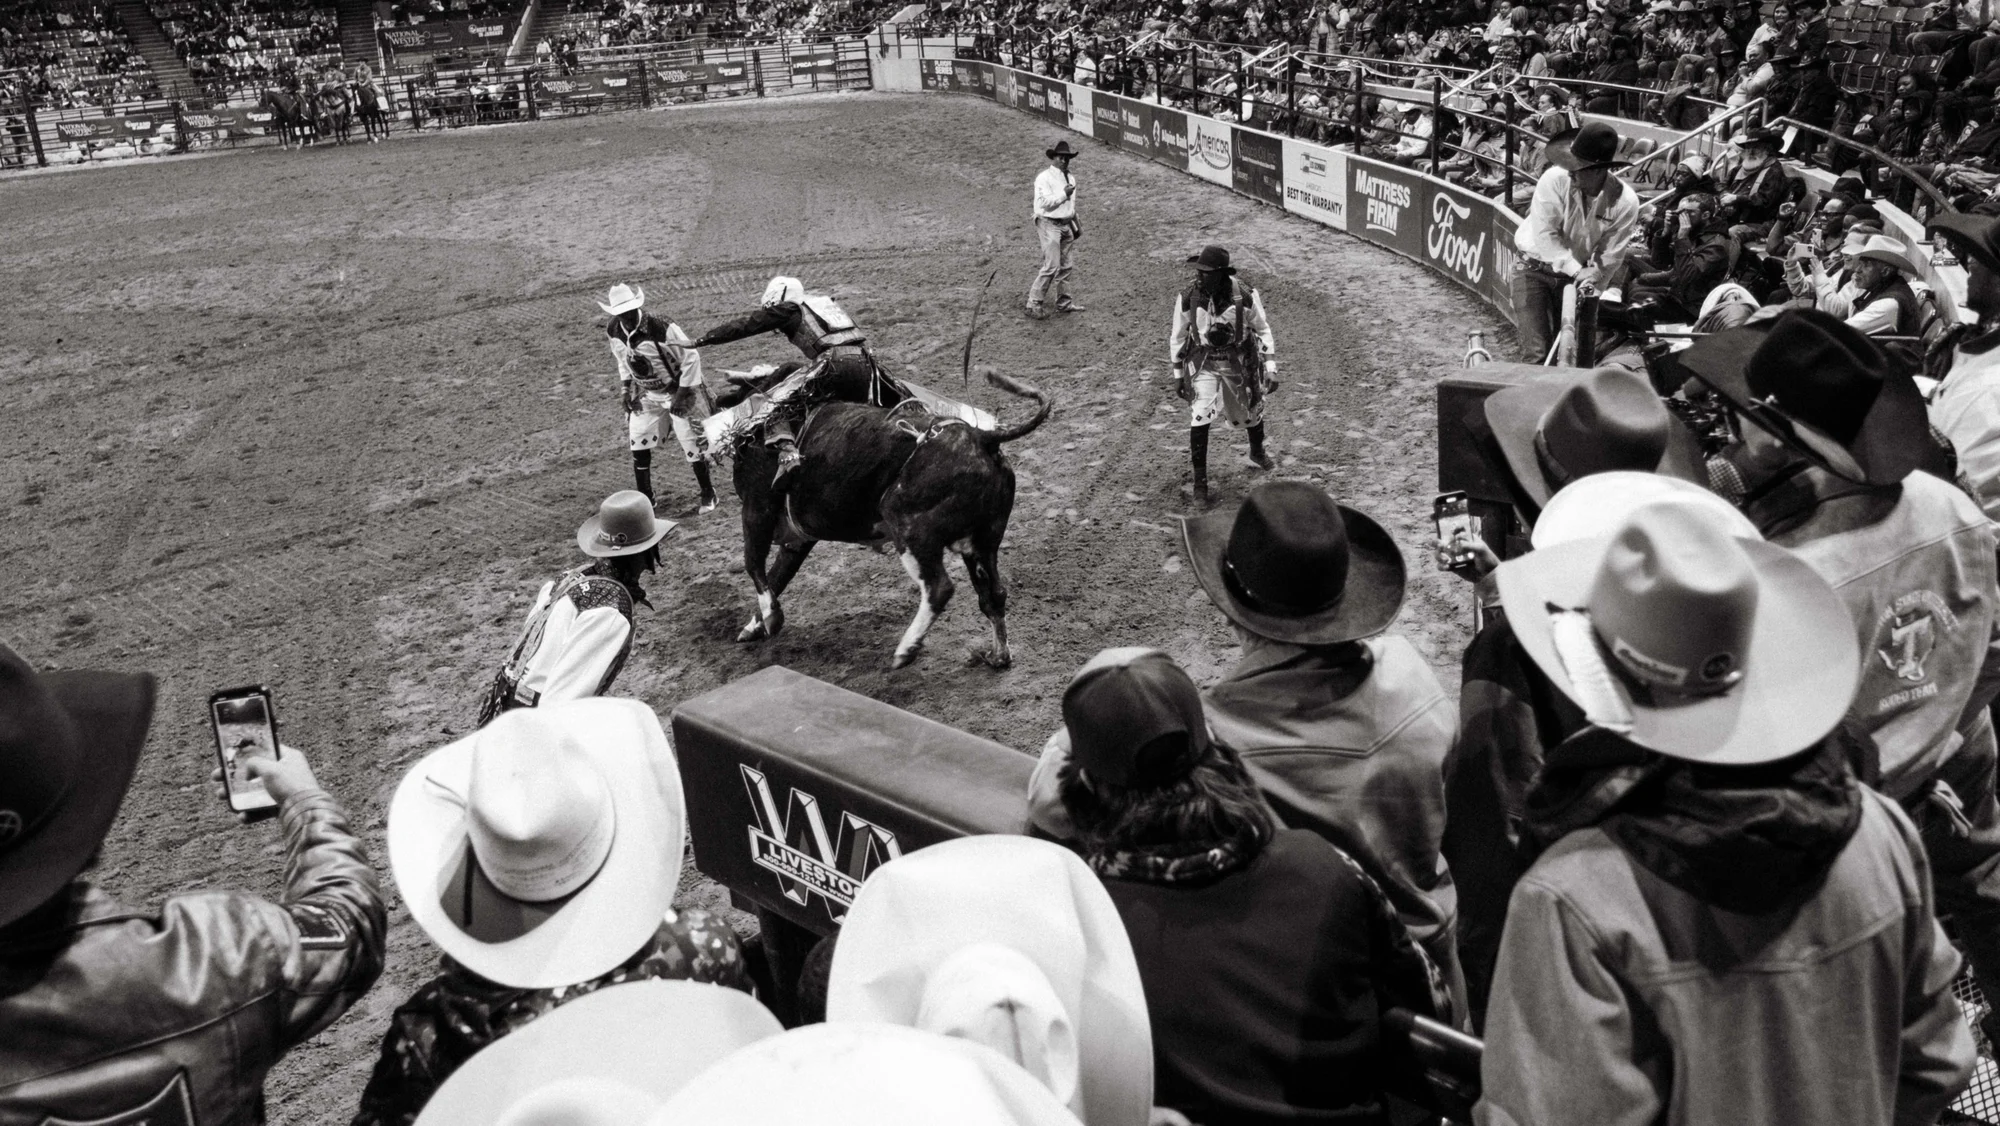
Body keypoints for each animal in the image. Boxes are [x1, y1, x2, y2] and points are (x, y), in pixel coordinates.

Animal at [724, 370, 1064, 668]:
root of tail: (983, 438)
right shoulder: (798, 537)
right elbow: (778, 575)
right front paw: (755, 626)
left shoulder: (757, 508)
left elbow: (753, 562)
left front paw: (770, 618)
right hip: (983, 542)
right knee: (993, 595)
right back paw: (998, 656)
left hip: (910, 527)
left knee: (939, 587)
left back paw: (906, 649)